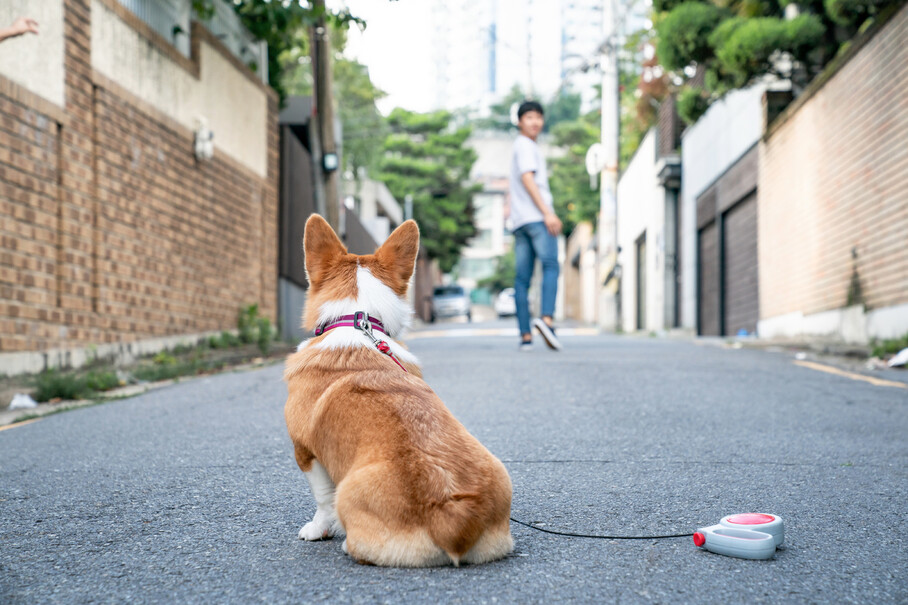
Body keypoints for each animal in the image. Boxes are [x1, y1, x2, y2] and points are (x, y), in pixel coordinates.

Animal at [280, 216, 516, 568]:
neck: (357, 319)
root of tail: (453, 515)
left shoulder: (305, 451)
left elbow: (322, 499)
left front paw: (317, 529)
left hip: (350, 491)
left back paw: (348, 544)